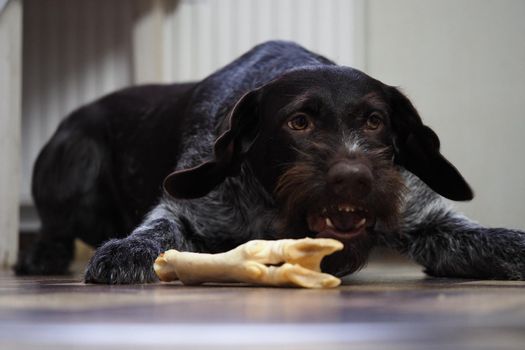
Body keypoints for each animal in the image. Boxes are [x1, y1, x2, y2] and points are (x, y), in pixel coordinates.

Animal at [16, 40, 524, 284]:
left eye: (375, 120)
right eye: (298, 122)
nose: (354, 178)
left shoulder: (427, 220)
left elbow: (486, 239)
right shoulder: (187, 209)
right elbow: (157, 229)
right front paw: (126, 250)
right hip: (75, 158)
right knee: (57, 227)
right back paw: (41, 253)